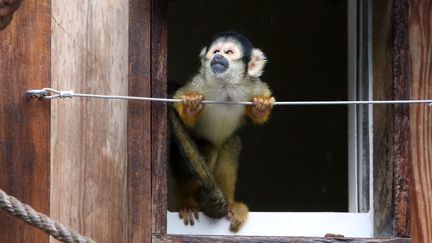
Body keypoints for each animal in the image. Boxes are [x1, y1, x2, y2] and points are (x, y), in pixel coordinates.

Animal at [169, 31, 274, 233]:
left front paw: (261, 106)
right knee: (207, 148)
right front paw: (191, 104)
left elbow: (259, 111)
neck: (225, 86)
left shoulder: (251, 84)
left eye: (229, 52)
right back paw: (186, 203)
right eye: (216, 51)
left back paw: (231, 206)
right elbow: (181, 108)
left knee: (229, 144)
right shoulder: (198, 83)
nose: (218, 57)